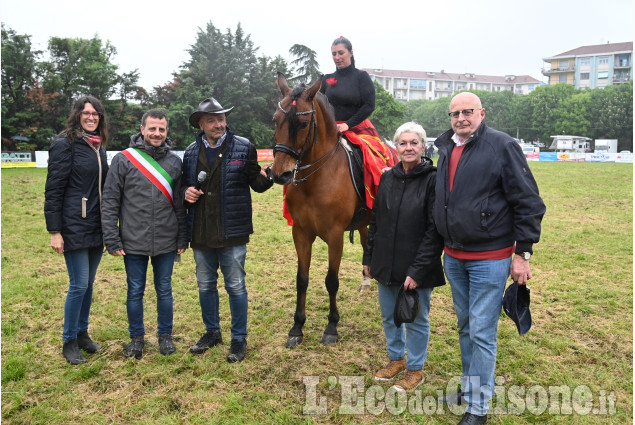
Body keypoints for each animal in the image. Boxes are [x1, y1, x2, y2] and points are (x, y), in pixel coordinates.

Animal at [270, 72, 370, 348]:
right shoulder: (301, 233)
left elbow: (331, 281)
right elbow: (301, 279)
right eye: (275, 120)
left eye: (303, 124)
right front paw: (297, 327)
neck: (315, 180)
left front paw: (332, 326)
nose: (280, 173)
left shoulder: (335, 237)